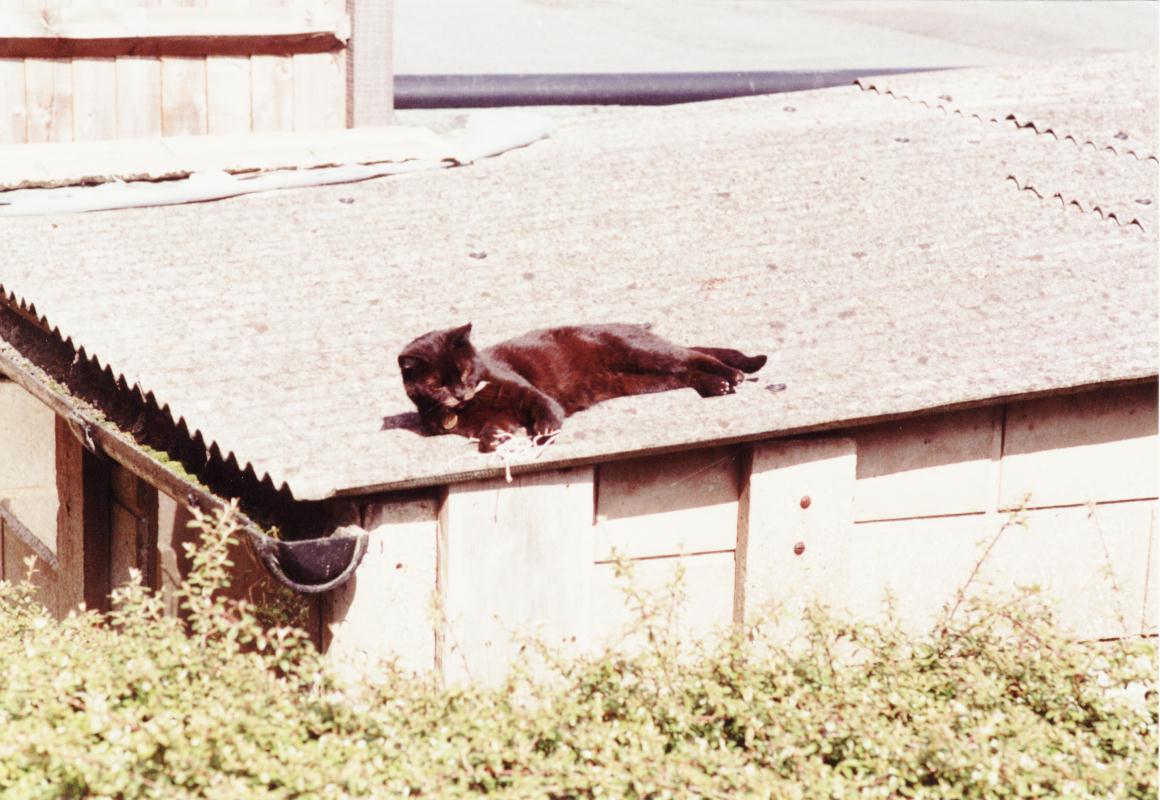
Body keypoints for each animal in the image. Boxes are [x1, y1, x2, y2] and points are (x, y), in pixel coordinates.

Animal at [394, 322, 765, 449]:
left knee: (692, 356)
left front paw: (545, 430)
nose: (461, 393)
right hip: (647, 379)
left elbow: (542, 404)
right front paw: (494, 441)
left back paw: (734, 375)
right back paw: (718, 385)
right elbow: (492, 429)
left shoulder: (525, 390)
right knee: (687, 372)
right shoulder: (495, 419)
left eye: (465, 370)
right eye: (438, 385)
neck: (475, 404)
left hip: (645, 354)